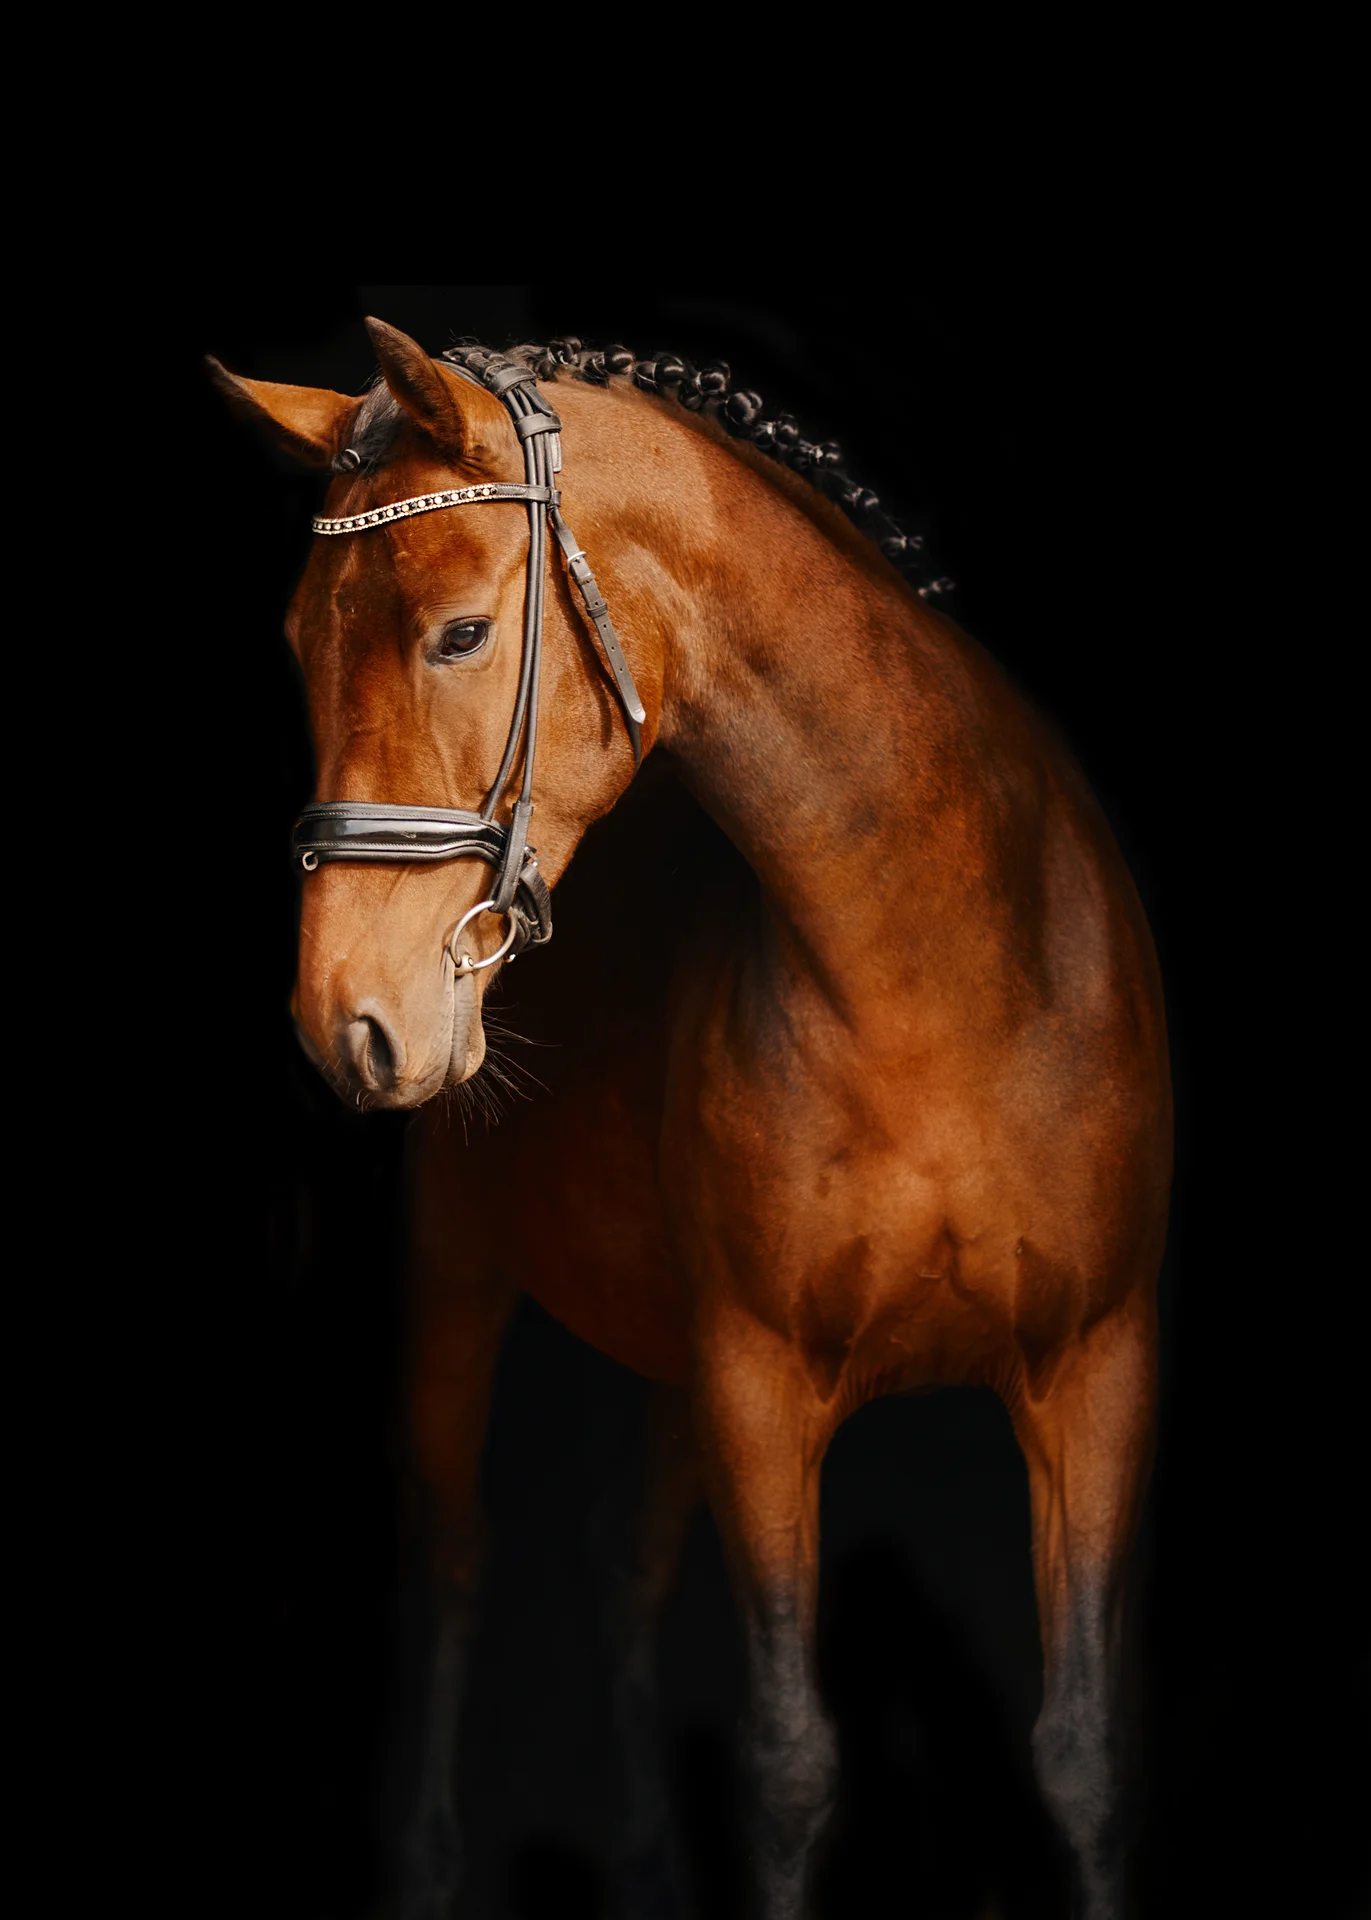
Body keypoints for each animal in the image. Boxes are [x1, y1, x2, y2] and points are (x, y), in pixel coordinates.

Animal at [210, 318, 1171, 1920]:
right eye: (294, 643)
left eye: (458, 635)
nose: (347, 1021)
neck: (941, 977)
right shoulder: (758, 1388)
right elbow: (788, 1764)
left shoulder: (1095, 1370)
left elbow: (1090, 1755)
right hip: (465, 1287)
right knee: (453, 1562)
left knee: (615, 1564)